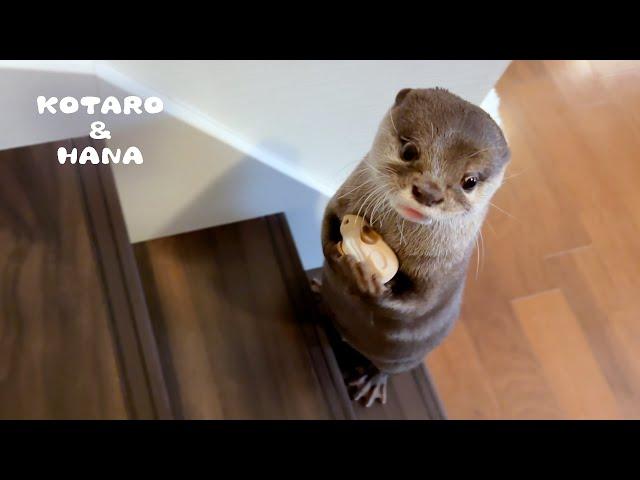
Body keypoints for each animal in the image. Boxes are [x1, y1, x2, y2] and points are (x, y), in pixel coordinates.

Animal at [320, 86, 510, 404]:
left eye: (470, 181)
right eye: (409, 151)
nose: (429, 192)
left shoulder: (442, 274)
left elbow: (417, 305)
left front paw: (364, 280)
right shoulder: (341, 199)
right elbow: (325, 227)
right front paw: (338, 259)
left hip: (406, 358)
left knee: (387, 368)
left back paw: (371, 382)